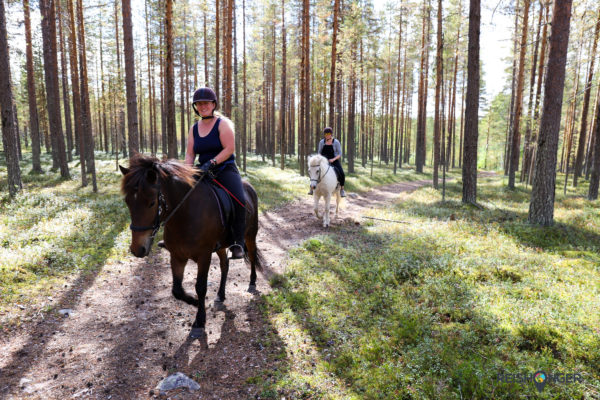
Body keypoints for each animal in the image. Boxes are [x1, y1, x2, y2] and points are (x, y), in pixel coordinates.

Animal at [120, 155, 262, 338]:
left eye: (151, 203)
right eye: (127, 202)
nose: (137, 249)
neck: (185, 215)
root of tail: (249, 187)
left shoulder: (204, 255)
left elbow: (200, 287)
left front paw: (199, 321)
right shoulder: (177, 255)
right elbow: (177, 290)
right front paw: (194, 302)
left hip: (250, 235)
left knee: (251, 256)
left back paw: (252, 282)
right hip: (221, 246)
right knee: (225, 265)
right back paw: (220, 295)